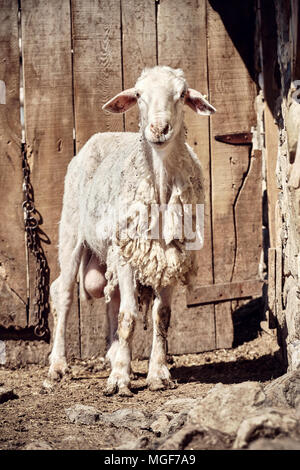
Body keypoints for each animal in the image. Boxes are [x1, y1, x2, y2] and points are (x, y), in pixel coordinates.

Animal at [48, 67, 216, 396]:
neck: (160, 186)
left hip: (110, 250)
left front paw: (157, 374)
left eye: (182, 94)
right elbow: (128, 317)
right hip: (72, 232)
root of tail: (101, 135)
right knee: (63, 293)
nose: (159, 129)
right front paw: (119, 380)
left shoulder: (170, 257)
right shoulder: (127, 254)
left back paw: (115, 355)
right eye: (138, 95)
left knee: (110, 301)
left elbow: (161, 317)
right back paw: (58, 365)